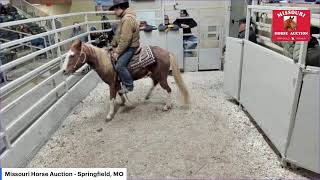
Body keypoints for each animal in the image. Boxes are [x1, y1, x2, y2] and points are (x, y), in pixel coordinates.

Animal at [62, 39, 190, 121]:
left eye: (72, 55)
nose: (63, 71)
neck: (105, 62)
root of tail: (167, 52)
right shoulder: (117, 82)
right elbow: (119, 93)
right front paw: (125, 102)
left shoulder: (112, 83)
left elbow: (111, 98)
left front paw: (109, 115)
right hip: (155, 75)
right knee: (155, 83)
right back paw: (147, 97)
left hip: (161, 76)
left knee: (168, 89)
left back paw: (167, 106)